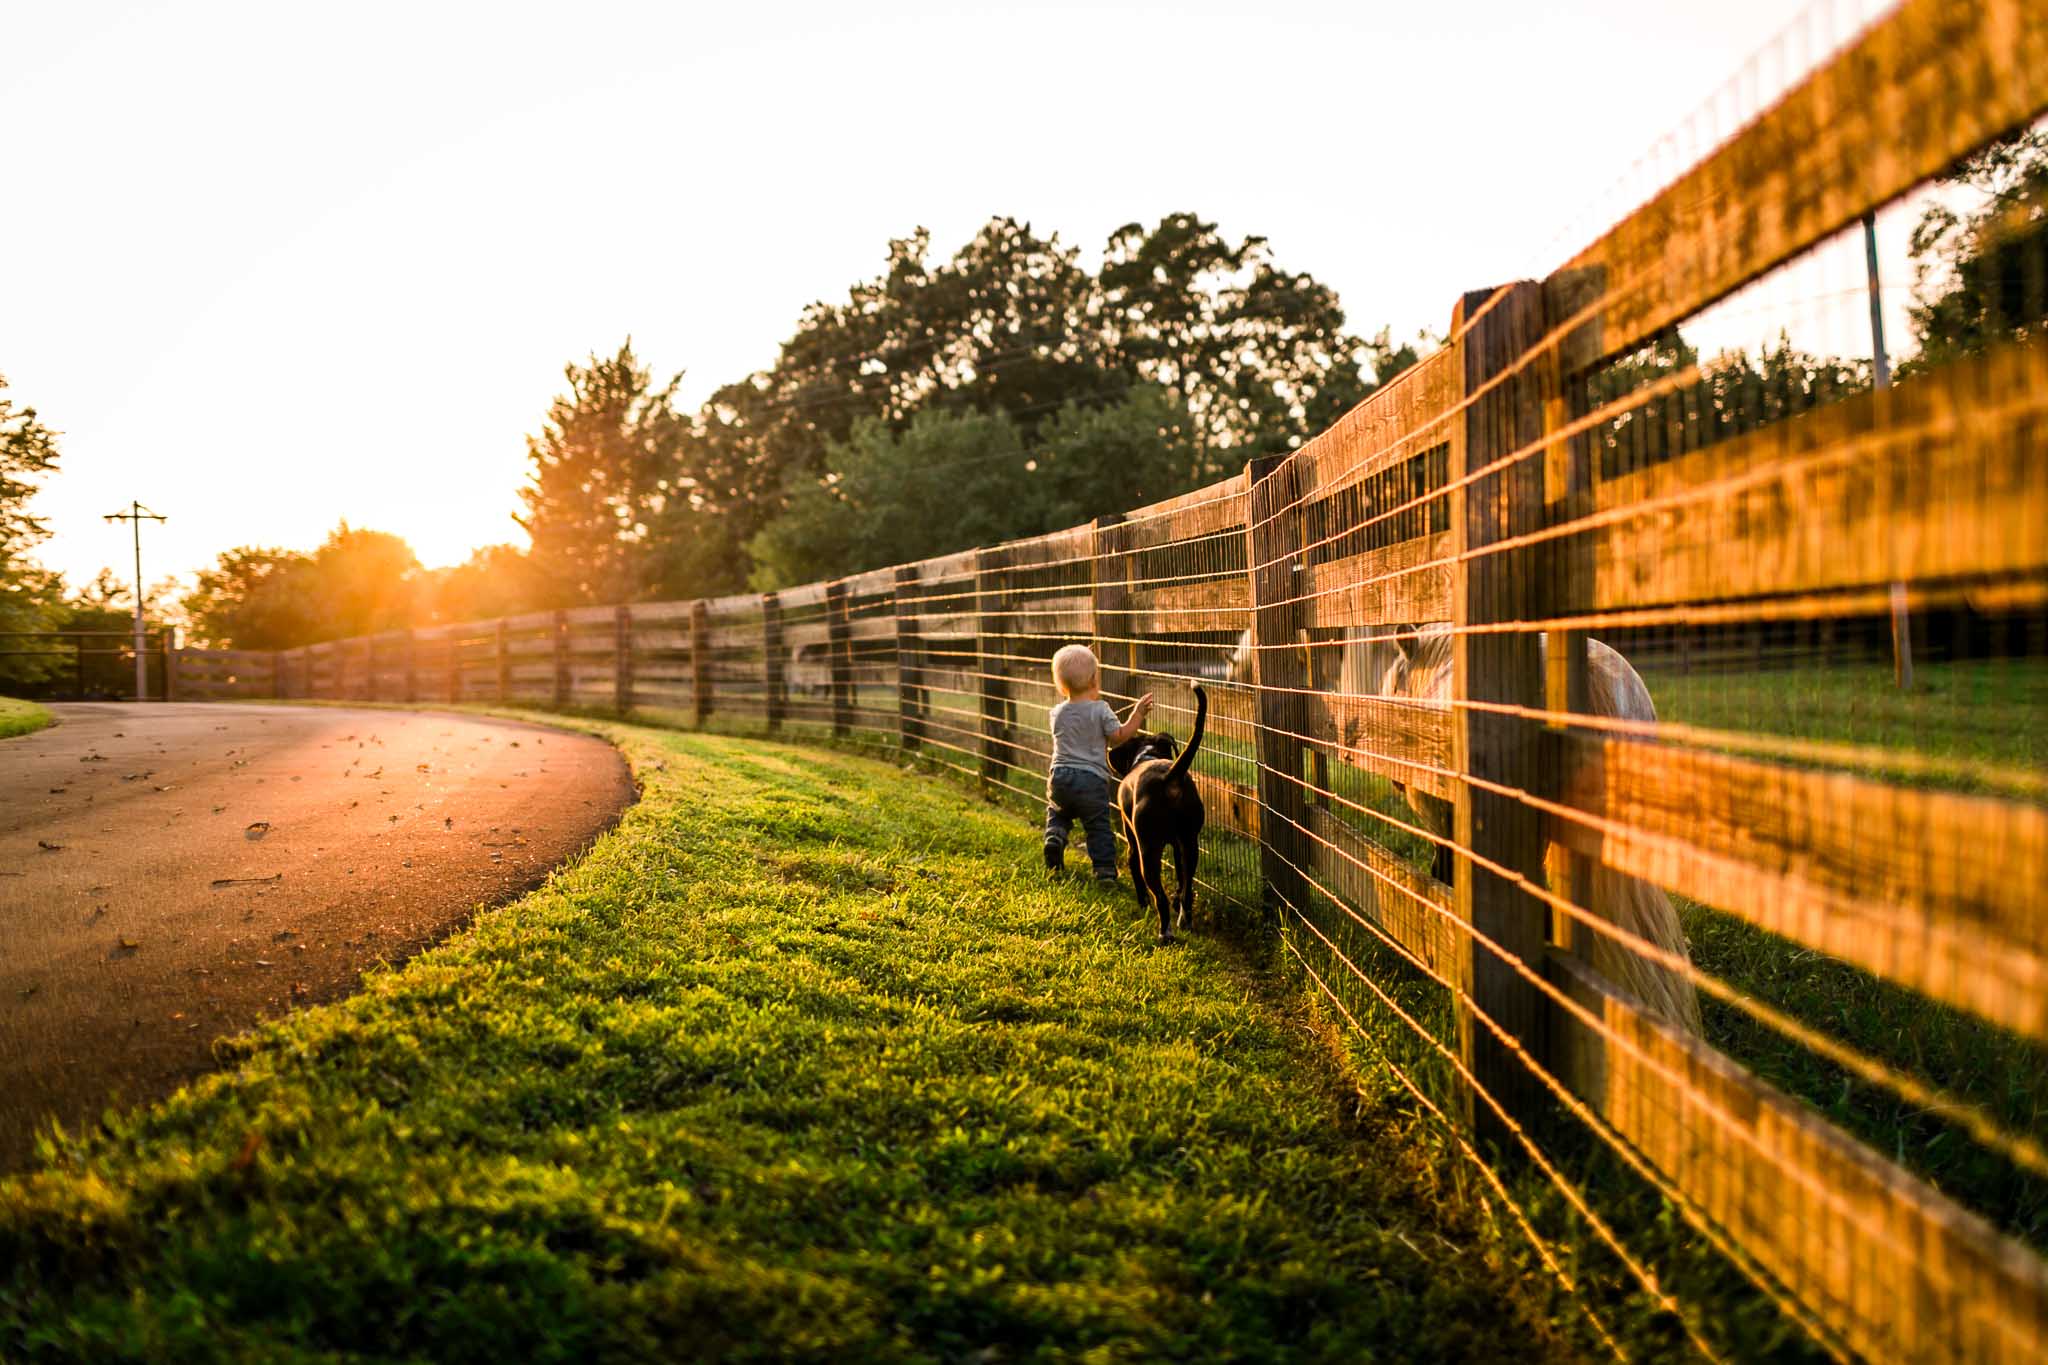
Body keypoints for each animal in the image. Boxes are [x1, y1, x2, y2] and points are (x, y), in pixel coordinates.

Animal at [1114, 687, 1204, 945]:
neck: (1148, 756)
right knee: (1187, 890)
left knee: (1159, 897)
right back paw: (1184, 920)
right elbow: (1180, 880)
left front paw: (1141, 903)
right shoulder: (1178, 847)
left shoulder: (1132, 842)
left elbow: (1134, 871)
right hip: (1190, 845)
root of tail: (1170, 777)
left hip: (1149, 850)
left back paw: (1165, 932)